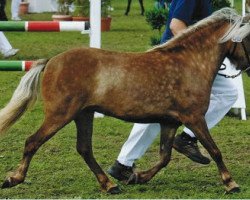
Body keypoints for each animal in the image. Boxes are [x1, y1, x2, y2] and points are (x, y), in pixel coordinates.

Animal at [0, 7, 250, 194]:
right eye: (249, 38)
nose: (247, 67)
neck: (189, 63)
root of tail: (51, 61)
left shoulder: (169, 122)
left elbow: (165, 156)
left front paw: (138, 177)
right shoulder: (194, 117)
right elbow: (214, 150)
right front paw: (231, 183)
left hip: (83, 114)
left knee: (84, 149)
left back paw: (109, 185)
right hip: (60, 114)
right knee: (33, 141)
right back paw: (13, 179)